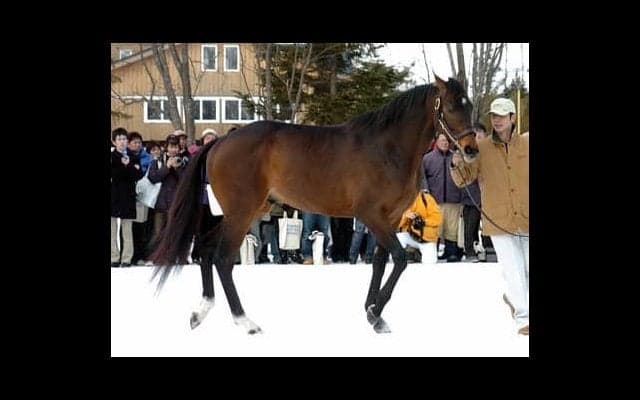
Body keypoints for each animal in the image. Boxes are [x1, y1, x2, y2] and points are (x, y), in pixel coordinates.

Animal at [149, 75, 478, 334]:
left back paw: (200, 312)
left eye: (470, 105)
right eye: (451, 107)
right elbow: (399, 259)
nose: (471, 149)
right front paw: (375, 312)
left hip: (239, 213)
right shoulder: (371, 215)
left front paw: (373, 312)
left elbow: (380, 262)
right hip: (242, 213)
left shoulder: (391, 218)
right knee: (222, 258)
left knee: (205, 250)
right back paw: (246, 322)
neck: (387, 148)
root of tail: (219, 142)